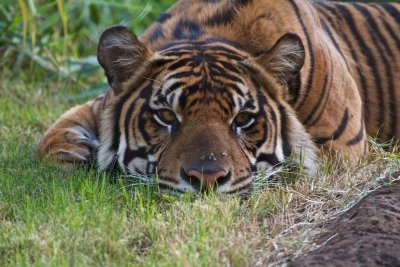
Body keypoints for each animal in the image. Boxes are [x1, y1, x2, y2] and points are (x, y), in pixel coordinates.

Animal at [38, 0, 400, 194]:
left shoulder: (343, 150)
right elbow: (50, 145)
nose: (207, 180)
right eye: (166, 116)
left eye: (243, 119)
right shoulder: (96, 106)